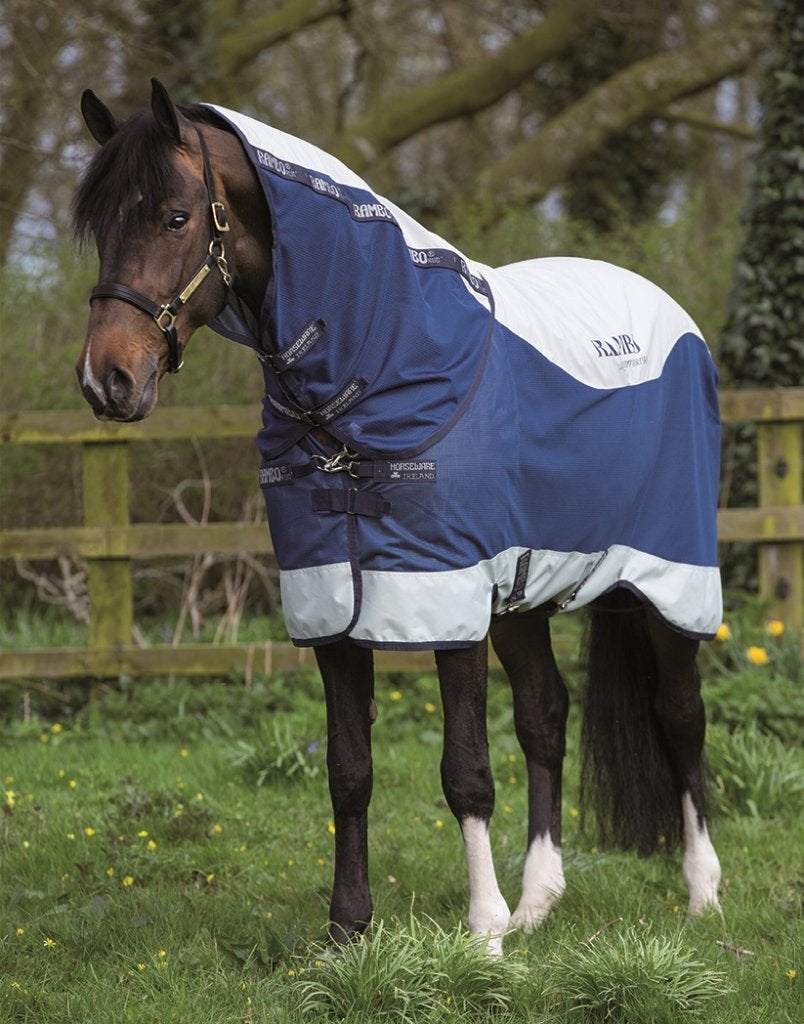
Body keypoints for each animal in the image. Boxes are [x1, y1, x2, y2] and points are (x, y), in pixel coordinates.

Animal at [73, 79, 722, 955]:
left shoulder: (449, 597)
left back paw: (701, 896)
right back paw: (538, 901)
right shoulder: (332, 602)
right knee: (546, 718)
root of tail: (669, 313)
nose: (106, 379)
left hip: (667, 577)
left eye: (175, 218)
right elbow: (350, 769)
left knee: (680, 717)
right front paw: (349, 930)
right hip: (525, 593)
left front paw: (482, 936)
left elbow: (466, 771)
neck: (376, 375)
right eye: (100, 225)